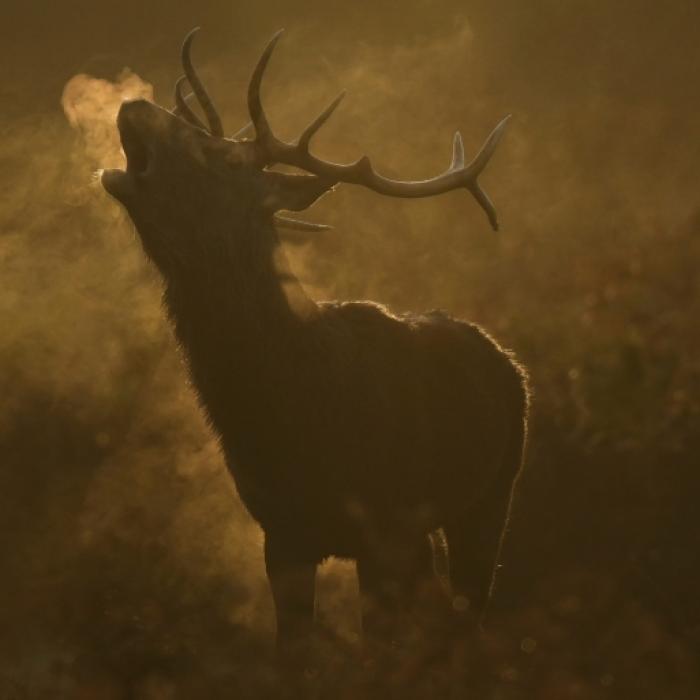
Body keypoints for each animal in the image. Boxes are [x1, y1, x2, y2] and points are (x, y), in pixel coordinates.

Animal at [101, 28, 529, 660]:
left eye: (223, 156)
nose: (134, 105)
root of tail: (507, 362)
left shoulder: (385, 528)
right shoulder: (281, 532)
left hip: (491, 495)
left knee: (466, 613)